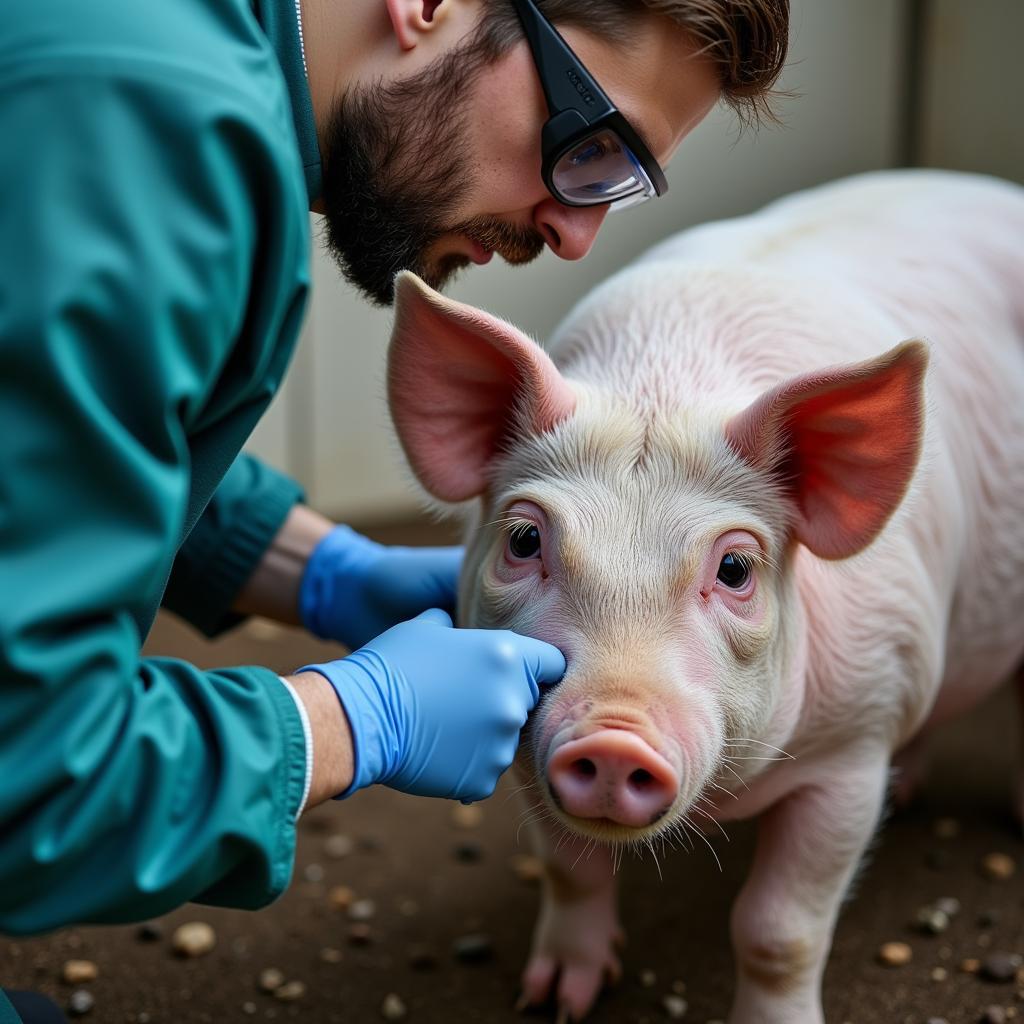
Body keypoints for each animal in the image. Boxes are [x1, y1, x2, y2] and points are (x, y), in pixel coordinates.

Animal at [382, 172, 1024, 1024]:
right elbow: (571, 872)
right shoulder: (527, 742)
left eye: (737, 569)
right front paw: (557, 1002)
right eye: (523, 541)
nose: (614, 739)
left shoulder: (854, 746)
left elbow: (778, 928)